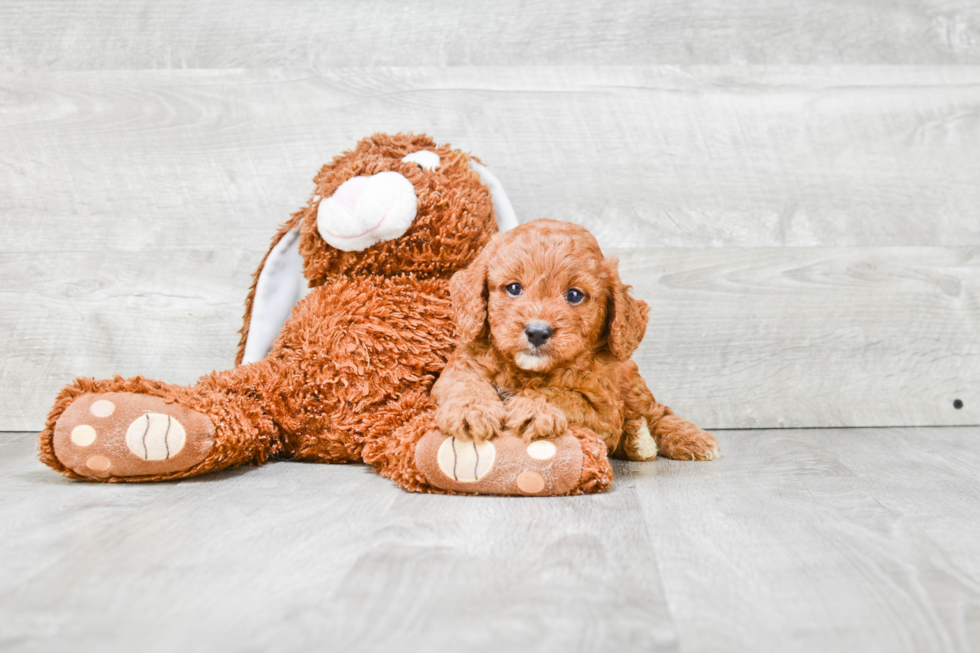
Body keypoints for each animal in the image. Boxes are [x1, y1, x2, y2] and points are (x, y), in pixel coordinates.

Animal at [430, 219, 720, 464]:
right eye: (514, 288)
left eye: (574, 295)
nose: (537, 332)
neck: (528, 371)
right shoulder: (461, 367)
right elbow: (466, 384)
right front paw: (470, 412)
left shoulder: (603, 413)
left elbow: (562, 395)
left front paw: (535, 409)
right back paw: (638, 438)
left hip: (631, 384)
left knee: (656, 412)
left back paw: (684, 439)